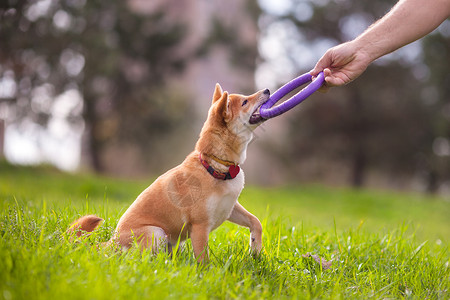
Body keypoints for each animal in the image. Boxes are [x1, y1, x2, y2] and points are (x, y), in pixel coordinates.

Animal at [68, 82, 268, 262]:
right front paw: (206, 274)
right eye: (244, 102)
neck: (215, 165)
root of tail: (111, 243)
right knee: (137, 259)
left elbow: (255, 221)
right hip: (156, 233)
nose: (267, 90)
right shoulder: (200, 226)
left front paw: (255, 249)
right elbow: (203, 259)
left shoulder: (230, 207)